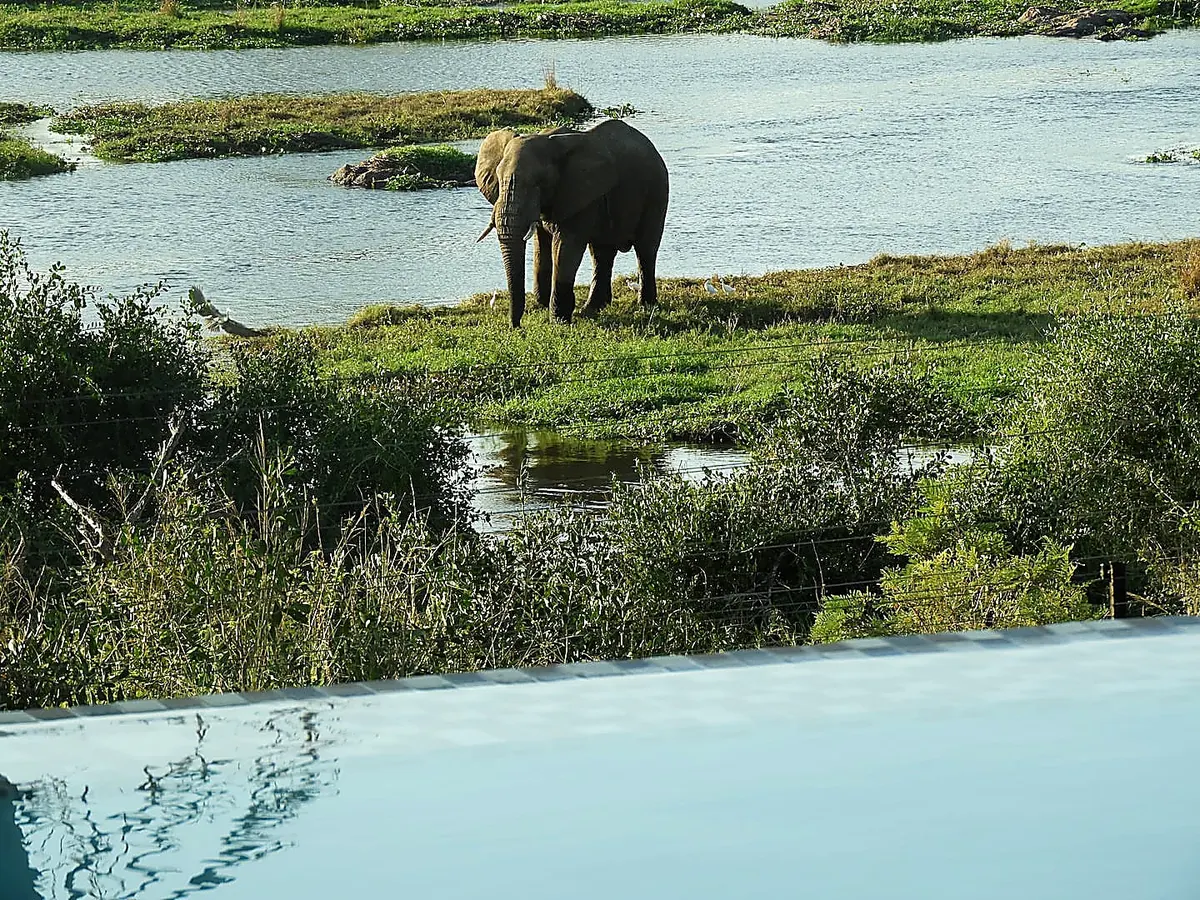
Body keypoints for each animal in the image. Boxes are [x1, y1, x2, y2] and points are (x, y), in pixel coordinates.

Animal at [475, 119, 669, 328]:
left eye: (540, 182)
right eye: (498, 178)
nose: (516, 326)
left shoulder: (579, 193)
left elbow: (565, 247)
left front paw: (558, 321)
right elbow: (541, 244)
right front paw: (542, 305)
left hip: (657, 192)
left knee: (645, 249)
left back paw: (646, 305)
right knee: (602, 253)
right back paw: (592, 309)